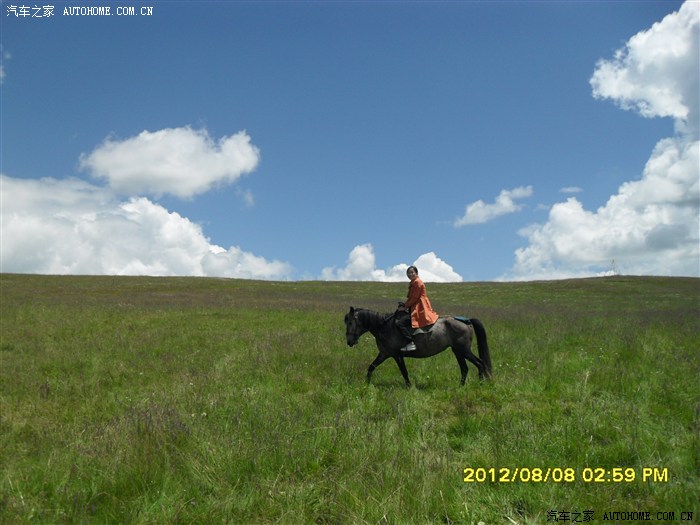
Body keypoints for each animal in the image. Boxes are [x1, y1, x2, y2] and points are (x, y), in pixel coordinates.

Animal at [344, 306, 492, 387]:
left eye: (350, 322)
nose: (349, 342)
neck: (384, 326)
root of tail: (466, 321)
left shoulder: (397, 355)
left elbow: (404, 372)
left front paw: (409, 387)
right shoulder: (384, 354)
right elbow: (371, 367)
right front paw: (366, 384)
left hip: (464, 350)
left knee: (479, 363)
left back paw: (479, 383)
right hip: (457, 351)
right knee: (465, 368)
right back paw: (461, 386)